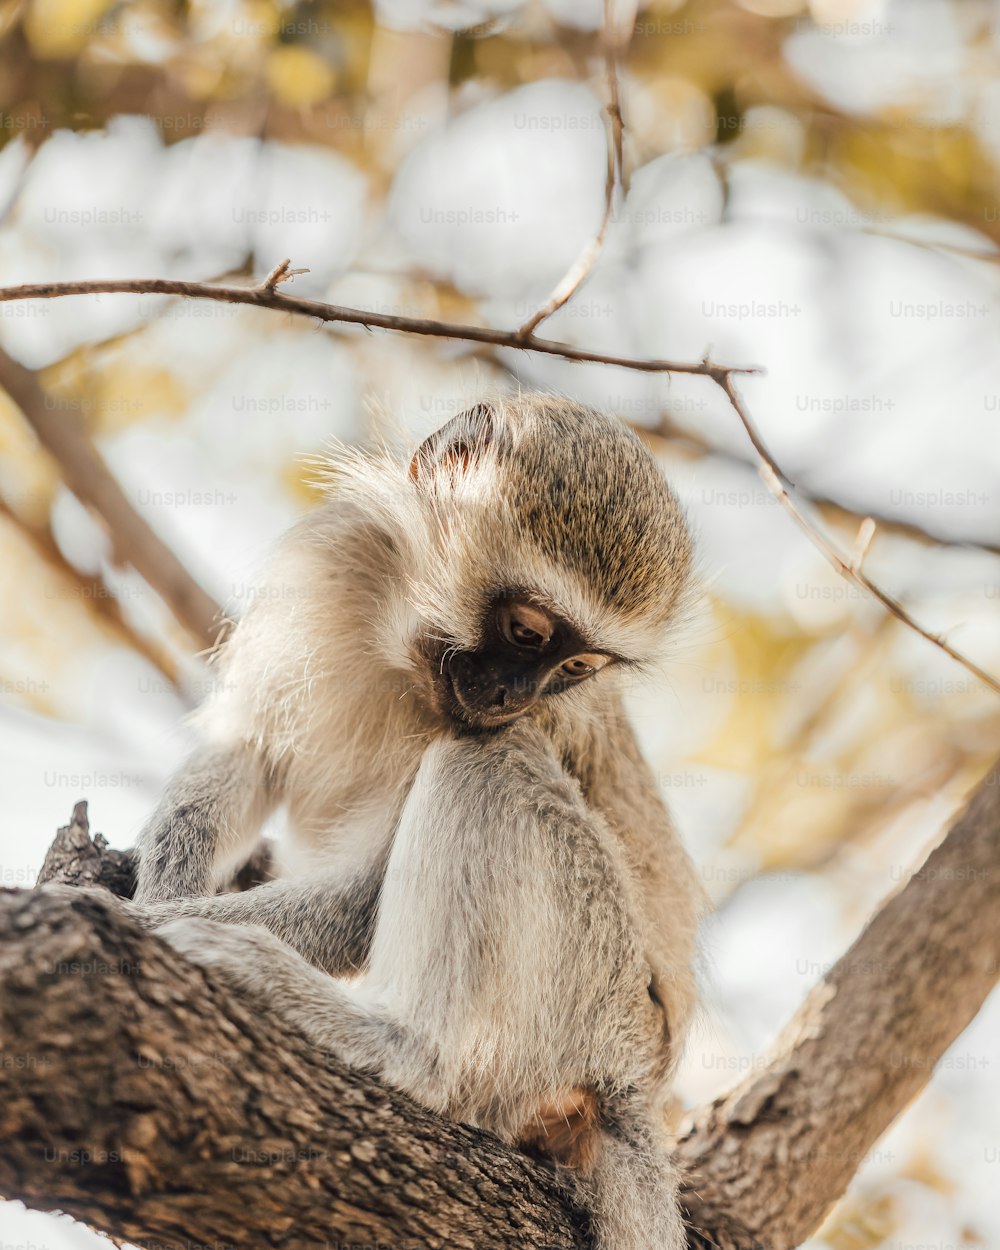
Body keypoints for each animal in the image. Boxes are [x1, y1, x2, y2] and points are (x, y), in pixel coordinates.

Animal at [128, 397, 705, 1250]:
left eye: (574, 669)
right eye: (529, 632)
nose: (510, 696)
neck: (408, 646)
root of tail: (639, 1085)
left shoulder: (552, 718)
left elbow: (363, 893)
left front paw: (105, 911)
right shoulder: (339, 552)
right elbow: (249, 747)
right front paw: (151, 886)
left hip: (593, 996)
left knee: (487, 763)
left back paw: (409, 1051)